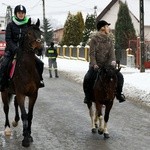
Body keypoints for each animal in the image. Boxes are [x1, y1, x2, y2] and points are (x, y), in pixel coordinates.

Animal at [1, 18, 42, 147]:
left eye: (40, 33)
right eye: (28, 33)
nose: (40, 49)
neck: (27, 69)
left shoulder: (33, 94)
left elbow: (29, 115)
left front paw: (28, 134)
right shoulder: (21, 94)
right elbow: (24, 114)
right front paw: (25, 139)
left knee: (15, 103)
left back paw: (15, 121)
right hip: (4, 91)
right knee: (6, 108)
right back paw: (7, 128)